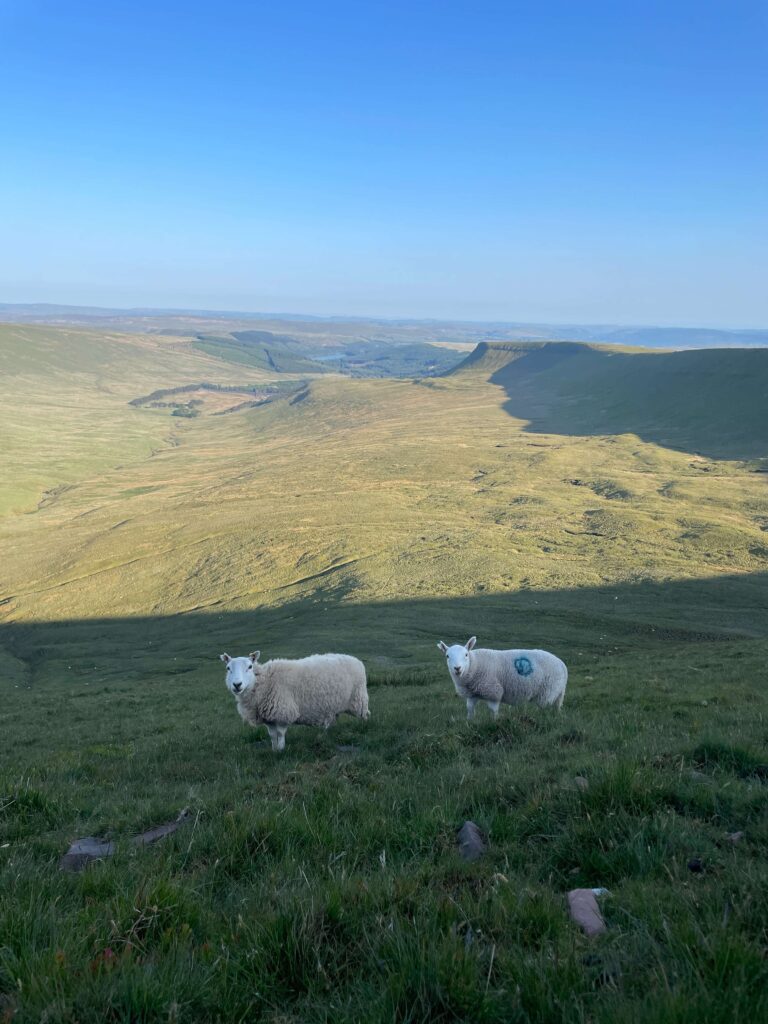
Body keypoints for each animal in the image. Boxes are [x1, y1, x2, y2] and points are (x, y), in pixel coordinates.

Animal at [218, 647, 370, 753]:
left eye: (249, 667)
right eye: (228, 668)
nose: (237, 685)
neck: (265, 681)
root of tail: (356, 660)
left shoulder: (283, 711)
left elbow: (280, 733)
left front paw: (281, 750)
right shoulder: (268, 717)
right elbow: (272, 735)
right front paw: (274, 750)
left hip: (359, 699)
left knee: (365, 715)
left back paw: (364, 728)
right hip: (335, 705)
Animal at [436, 630, 569, 720]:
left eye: (466, 655)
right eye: (447, 656)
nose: (457, 668)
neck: (475, 664)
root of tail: (562, 664)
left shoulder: (494, 692)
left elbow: (493, 710)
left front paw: (494, 722)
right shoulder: (472, 693)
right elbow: (469, 709)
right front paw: (469, 722)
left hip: (547, 692)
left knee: (544, 709)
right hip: (557, 693)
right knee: (556, 707)